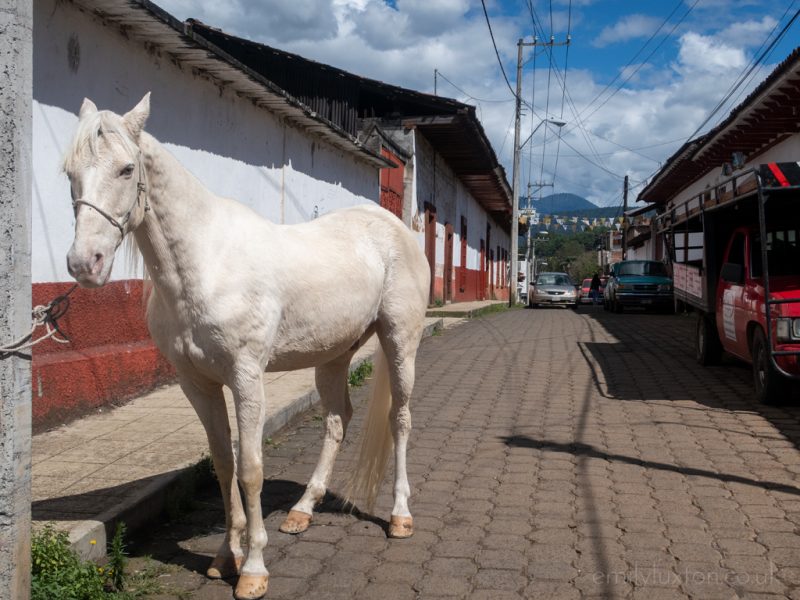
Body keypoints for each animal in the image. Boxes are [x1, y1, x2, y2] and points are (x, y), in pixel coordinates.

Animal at [62, 95, 432, 600]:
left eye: (125, 169)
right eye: (69, 172)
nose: (86, 264)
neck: (206, 262)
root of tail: (394, 227)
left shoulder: (246, 377)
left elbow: (251, 467)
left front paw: (254, 569)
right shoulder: (197, 384)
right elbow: (223, 464)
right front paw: (224, 557)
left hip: (400, 342)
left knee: (400, 419)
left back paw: (400, 516)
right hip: (333, 355)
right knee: (337, 420)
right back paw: (301, 511)